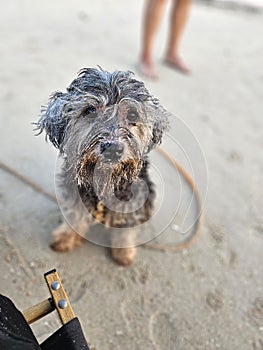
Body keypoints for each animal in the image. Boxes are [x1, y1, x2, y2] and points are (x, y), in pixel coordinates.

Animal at [36, 68, 170, 266]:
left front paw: (124, 251)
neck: (105, 180)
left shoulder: (133, 200)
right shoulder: (76, 194)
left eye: (132, 115)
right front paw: (66, 238)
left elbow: (126, 228)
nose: (113, 149)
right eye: (90, 110)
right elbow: (75, 216)